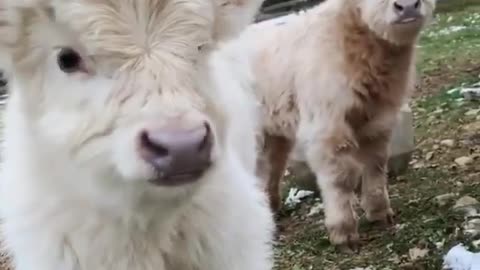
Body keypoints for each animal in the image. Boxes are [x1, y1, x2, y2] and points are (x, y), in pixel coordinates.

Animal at [238, 0, 436, 251]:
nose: (408, 6)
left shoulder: (378, 121)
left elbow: (376, 165)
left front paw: (380, 213)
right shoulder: (327, 127)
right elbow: (341, 178)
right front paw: (344, 232)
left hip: (273, 132)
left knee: (270, 168)